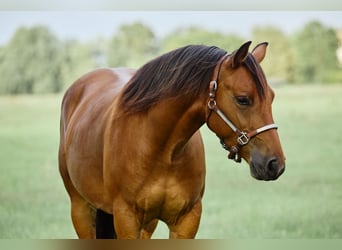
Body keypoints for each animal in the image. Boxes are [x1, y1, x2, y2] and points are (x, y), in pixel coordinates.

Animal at [58, 41, 286, 238]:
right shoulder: (126, 219)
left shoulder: (187, 220)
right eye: (243, 99)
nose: (275, 164)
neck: (163, 151)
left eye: (272, 97)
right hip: (81, 209)